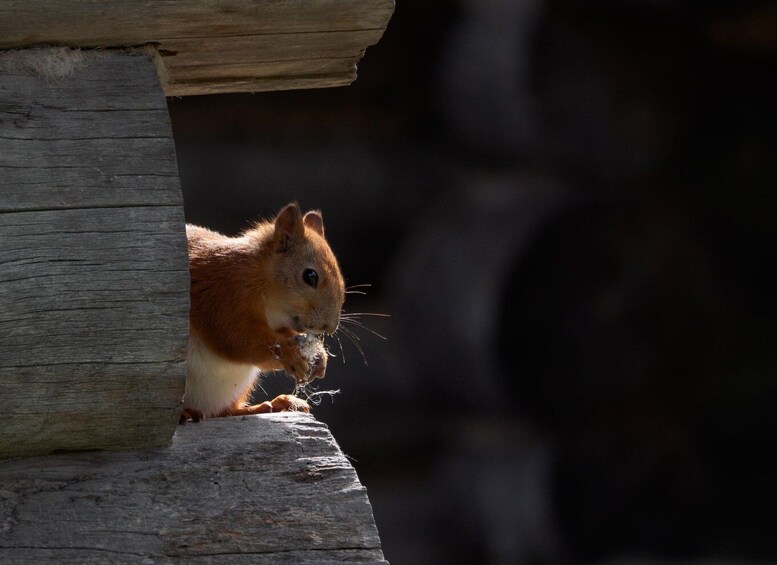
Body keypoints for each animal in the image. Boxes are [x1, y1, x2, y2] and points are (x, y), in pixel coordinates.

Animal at [181, 202, 345, 423]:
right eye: (310, 276)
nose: (330, 326)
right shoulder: (221, 297)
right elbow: (236, 339)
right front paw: (291, 354)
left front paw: (319, 358)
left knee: (225, 411)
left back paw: (274, 404)